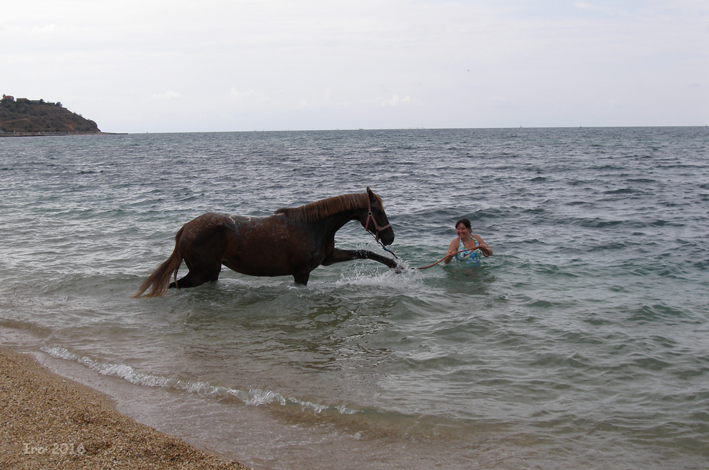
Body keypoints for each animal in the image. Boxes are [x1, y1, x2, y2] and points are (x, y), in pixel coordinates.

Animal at [131, 187, 398, 298]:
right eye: (378, 212)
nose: (390, 237)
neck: (312, 226)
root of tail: (185, 228)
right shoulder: (301, 273)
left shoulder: (328, 259)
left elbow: (364, 252)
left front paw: (397, 267)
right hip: (201, 272)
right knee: (174, 286)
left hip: (210, 272)